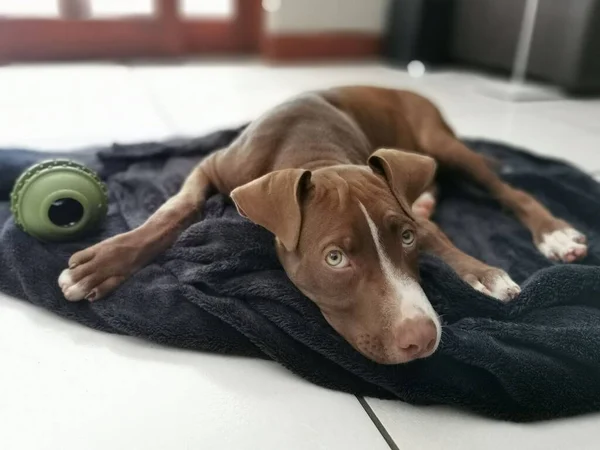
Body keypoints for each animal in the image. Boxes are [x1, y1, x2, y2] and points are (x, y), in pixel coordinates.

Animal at [57, 87, 584, 366]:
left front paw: (482, 274)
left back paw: (555, 233)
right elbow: (171, 211)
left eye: (405, 239)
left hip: (439, 143)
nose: (422, 337)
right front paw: (103, 261)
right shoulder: (211, 167)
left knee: (507, 190)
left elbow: (440, 236)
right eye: (335, 258)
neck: (313, 151)